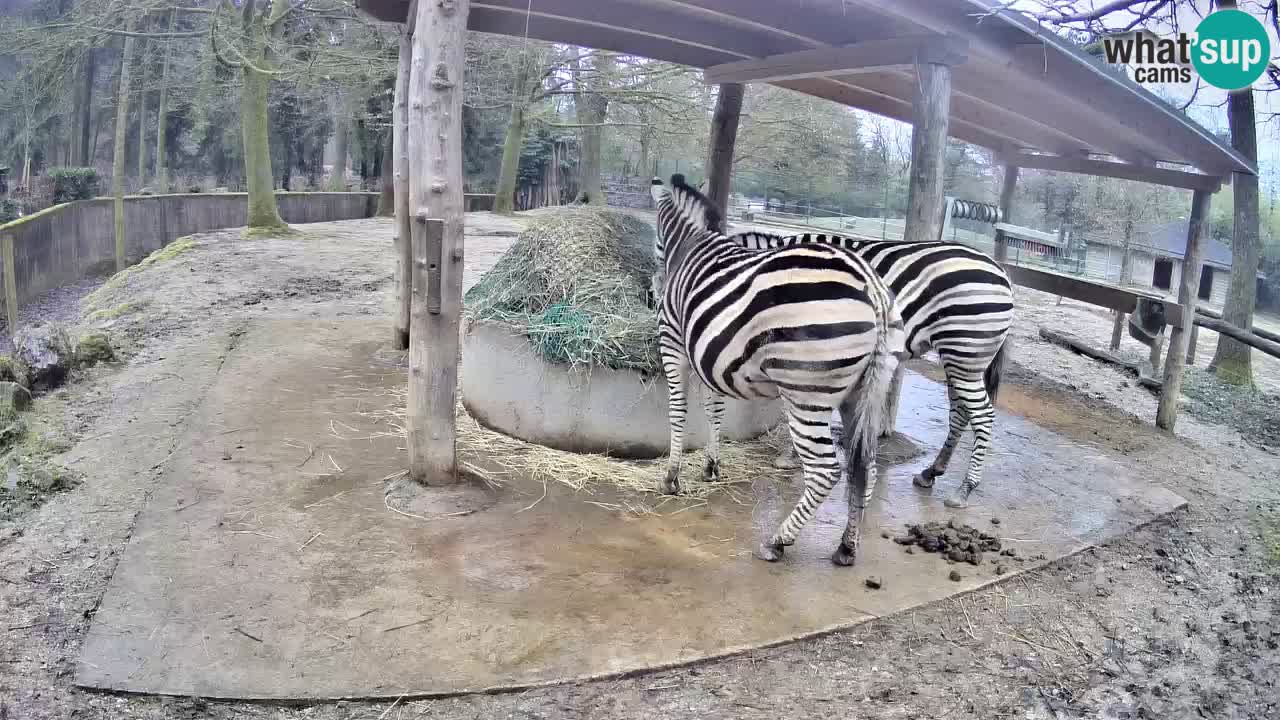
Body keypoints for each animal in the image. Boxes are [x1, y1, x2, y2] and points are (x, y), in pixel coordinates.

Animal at [650, 174, 906, 566]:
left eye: (656, 241)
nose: (652, 291)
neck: (691, 244)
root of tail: (872, 288)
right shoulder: (710, 356)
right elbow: (714, 412)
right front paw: (711, 467)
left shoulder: (674, 341)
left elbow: (679, 411)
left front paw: (672, 477)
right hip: (864, 392)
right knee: (867, 467)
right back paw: (846, 547)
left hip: (806, 392)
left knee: (825, 470)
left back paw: (778, 540)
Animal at [723, 229, 1013, 509]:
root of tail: (1001, 272)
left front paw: (790, 457)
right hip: (962, 358)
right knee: (961, 413)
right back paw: (931, 472)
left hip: (965, 351)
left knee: (983, 415)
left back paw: (964, 490)